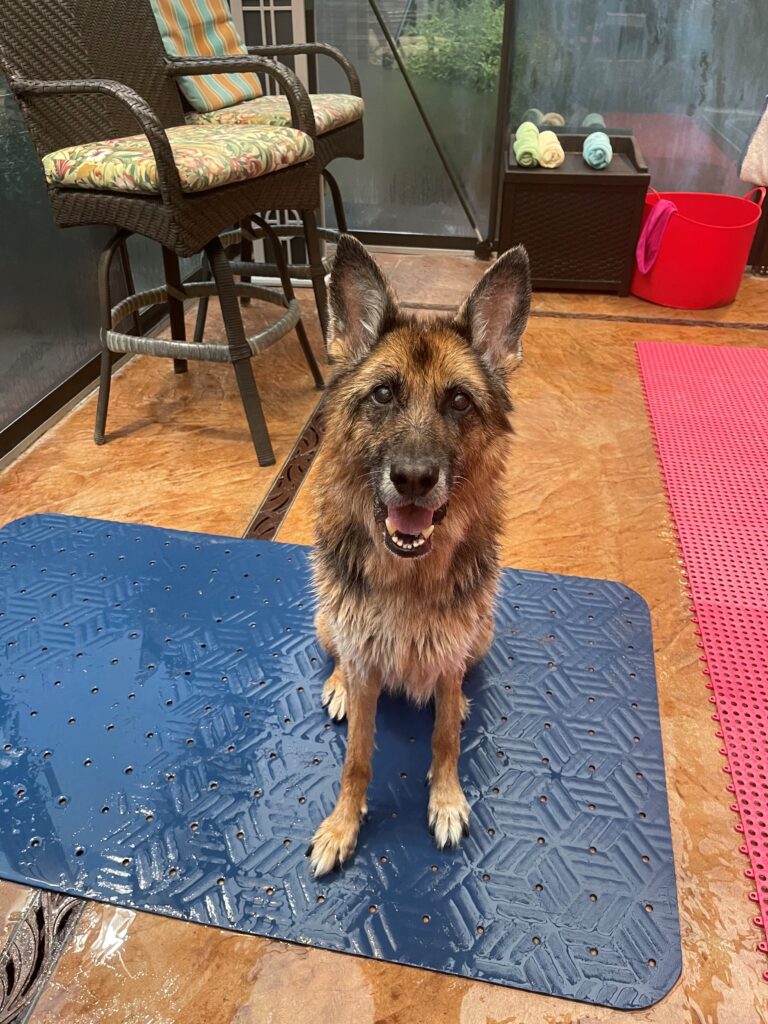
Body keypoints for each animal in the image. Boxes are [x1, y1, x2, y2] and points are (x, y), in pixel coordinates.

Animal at [307, 235, 531, 876]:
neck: (407, 574)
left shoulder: (452, 657)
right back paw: (337, 685)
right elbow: (356, 757)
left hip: (479, 635)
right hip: (328, 622)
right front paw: (342, 825)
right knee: (340, 657)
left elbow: (445, 739)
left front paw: (447, 797)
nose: (411, 479)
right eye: (384, 393)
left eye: (458, 401)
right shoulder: (365, 660)